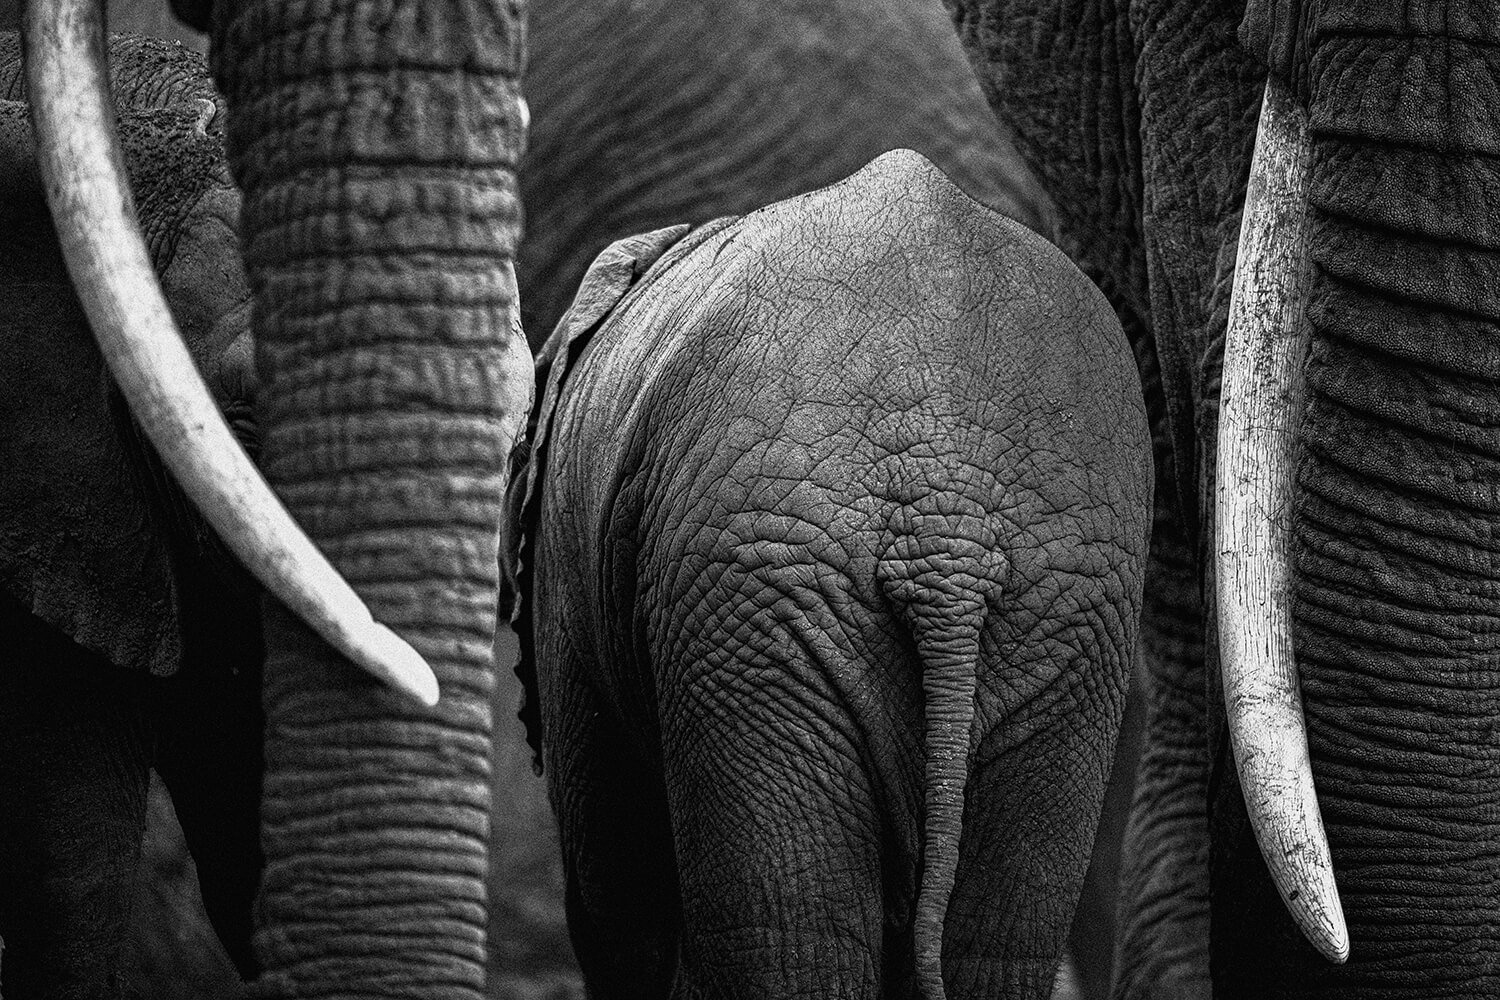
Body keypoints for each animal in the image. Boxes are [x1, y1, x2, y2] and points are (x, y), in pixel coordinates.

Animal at [502, 149, 1153, 998]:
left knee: (778, 934)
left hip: (755, 595)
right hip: (1061, 603)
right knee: (994, 944)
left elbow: (612, 886)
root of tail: (947, 533)